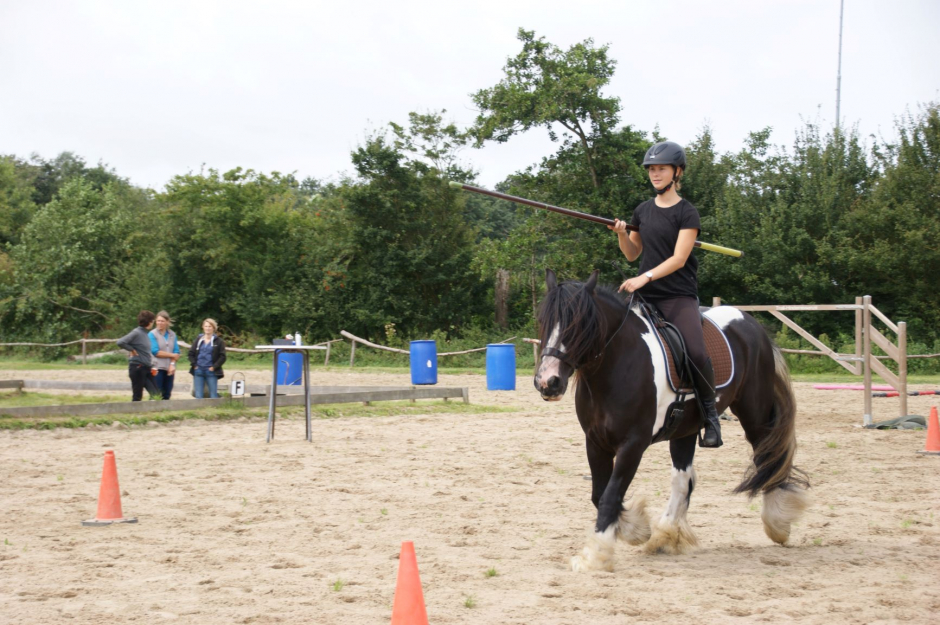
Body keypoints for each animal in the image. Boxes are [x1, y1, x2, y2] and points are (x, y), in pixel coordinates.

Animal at [536, 268, 808, 572]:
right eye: (543, 321)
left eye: (580, 324)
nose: (548, 382)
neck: (617, 366)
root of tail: (752, 324)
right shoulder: (595, 442)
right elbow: (600, 493)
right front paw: (635, 529)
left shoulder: (633, 444)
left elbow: (610, 495)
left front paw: (595, 555)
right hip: (685, 428)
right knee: (683, 479)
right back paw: (667, 534)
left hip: (754, 413)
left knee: (767, 457)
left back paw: (777, 524)